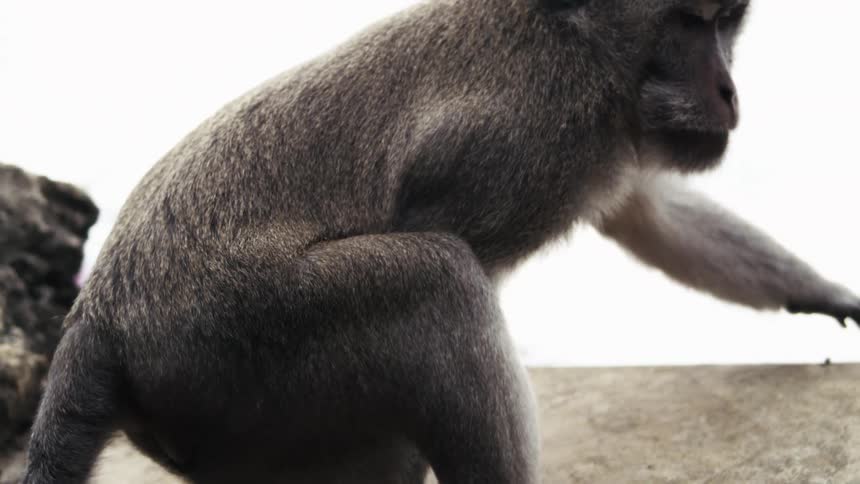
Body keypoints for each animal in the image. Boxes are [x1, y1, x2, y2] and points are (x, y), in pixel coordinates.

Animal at [22, 0, 860, 483]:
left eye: (726, 21)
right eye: (691, 21)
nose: (728, 90)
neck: (581, 46)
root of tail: (97, 322)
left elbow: (650, 216)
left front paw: (827, 295)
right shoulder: (529, 131)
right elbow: (436, 227)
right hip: (228, 341)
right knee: (438, 279)